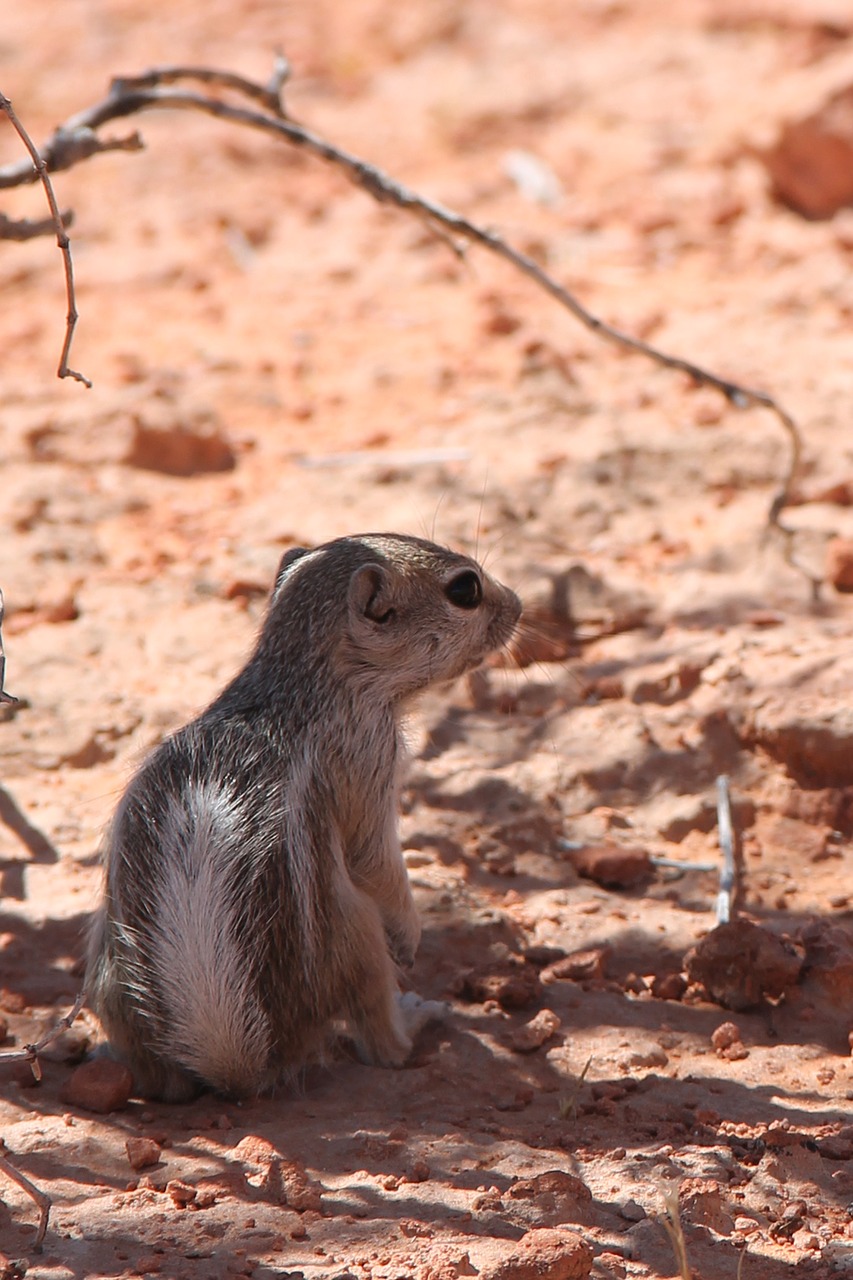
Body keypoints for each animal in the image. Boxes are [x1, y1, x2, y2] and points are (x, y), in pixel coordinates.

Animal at [86, 529, 517, 1100]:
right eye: (465, 590)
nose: (518, 605)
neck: (298, 681)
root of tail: (244, 1068)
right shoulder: (371, 767)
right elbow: (377, 861)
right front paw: (411, 937)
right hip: (359, 937)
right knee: (382, 1043)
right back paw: (416, 1018)